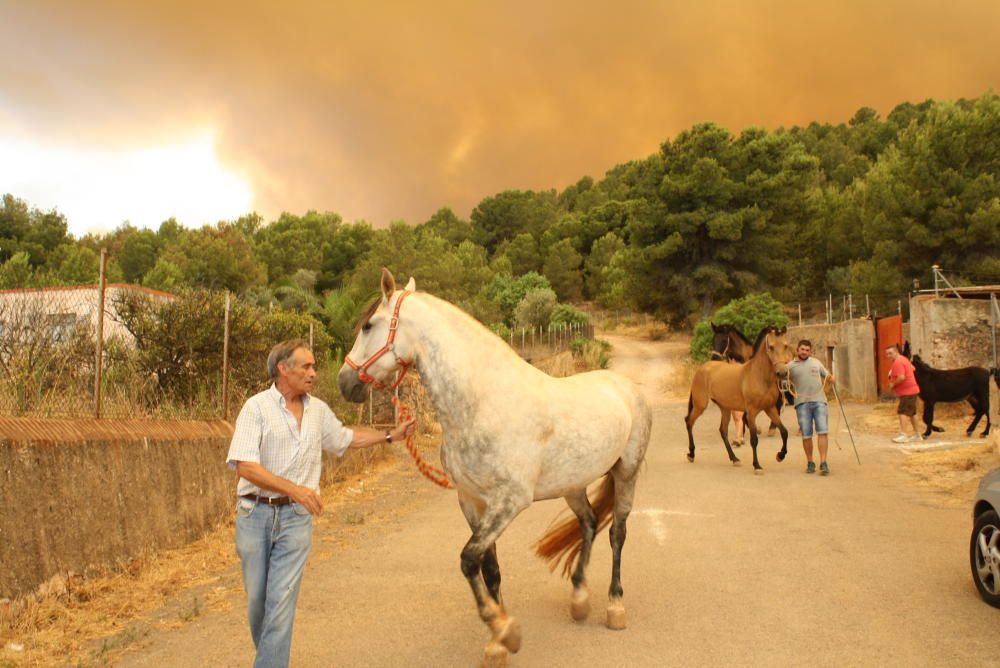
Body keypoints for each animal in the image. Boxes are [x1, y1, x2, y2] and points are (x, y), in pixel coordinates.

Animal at [340, 268, 652, 664]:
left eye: (368, 326)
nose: (344, 382)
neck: (482, 403)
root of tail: (626, 386)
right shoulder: (473, 502)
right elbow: (489, 568)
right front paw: (497, 642)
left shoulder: (509, 502)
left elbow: (468, 559)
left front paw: (505, 631)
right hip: (573, 485)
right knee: (590, 524)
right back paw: (579, 599)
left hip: (627, 472)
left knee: (617, 534)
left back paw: (614, 606)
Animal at [684, 326, 792, 472]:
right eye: (771, 346)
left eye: (785, 346)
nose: (782, 373)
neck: (758, 375)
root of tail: (703, 368)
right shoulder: (751, 412)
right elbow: (754, 439)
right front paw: (757, 466)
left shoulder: (770, 408)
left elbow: (784, 431)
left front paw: (780, 456)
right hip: (700, 405)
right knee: (689, 422)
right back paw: (691, 454)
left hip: (724, 408)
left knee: (722, 431)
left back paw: (734, 459)